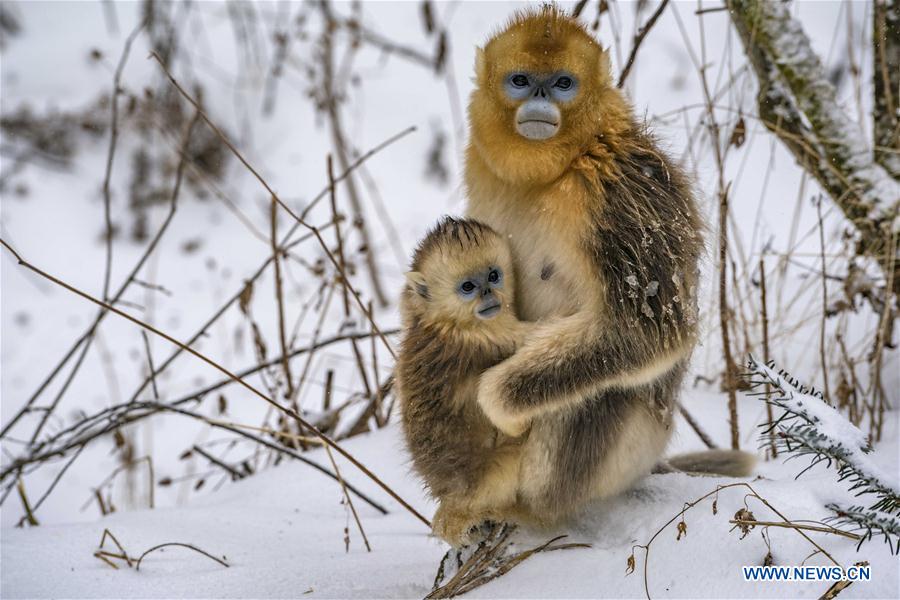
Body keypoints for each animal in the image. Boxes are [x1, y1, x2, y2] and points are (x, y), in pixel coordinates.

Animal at [396, 216, 530, 546]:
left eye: (493, 276)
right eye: (468, 287)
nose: (488, 294)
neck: (449, 322)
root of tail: (453, 496)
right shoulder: (487, 339)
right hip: (495, 472)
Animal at [440, 6, 756, 541]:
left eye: (563, 83)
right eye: (520, 80)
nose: (541, 98)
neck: (563, 166)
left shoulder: (616, 193)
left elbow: (646, 332)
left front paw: (496, 402)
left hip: (633, 446)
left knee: (594, 391)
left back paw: (531, 512)